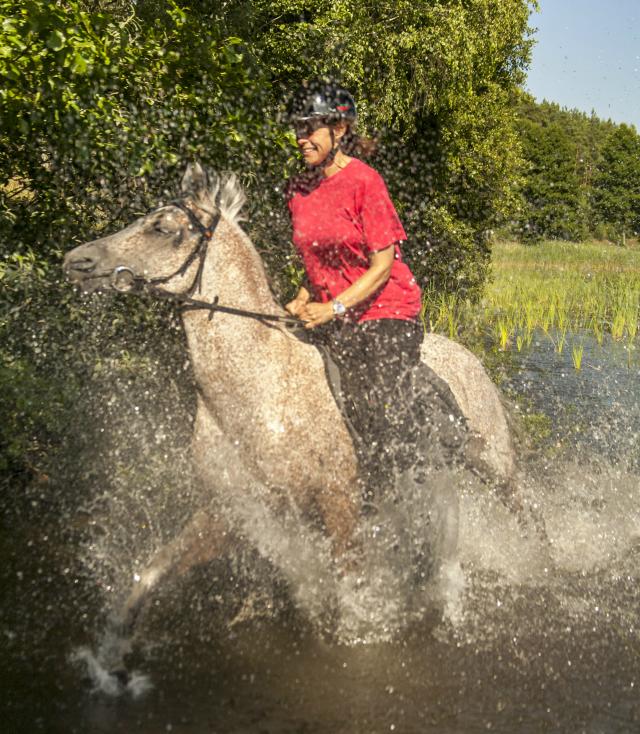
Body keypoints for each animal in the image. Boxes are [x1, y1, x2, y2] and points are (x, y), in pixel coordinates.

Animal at [63, 164, 516, 636]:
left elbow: (352, 596)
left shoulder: (340, 505)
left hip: (496, 466)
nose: (75, 261)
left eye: (163, 228)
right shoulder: (233, 509)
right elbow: (150, 573)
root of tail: (470, 357)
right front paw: (113, 641)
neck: (261, 391)